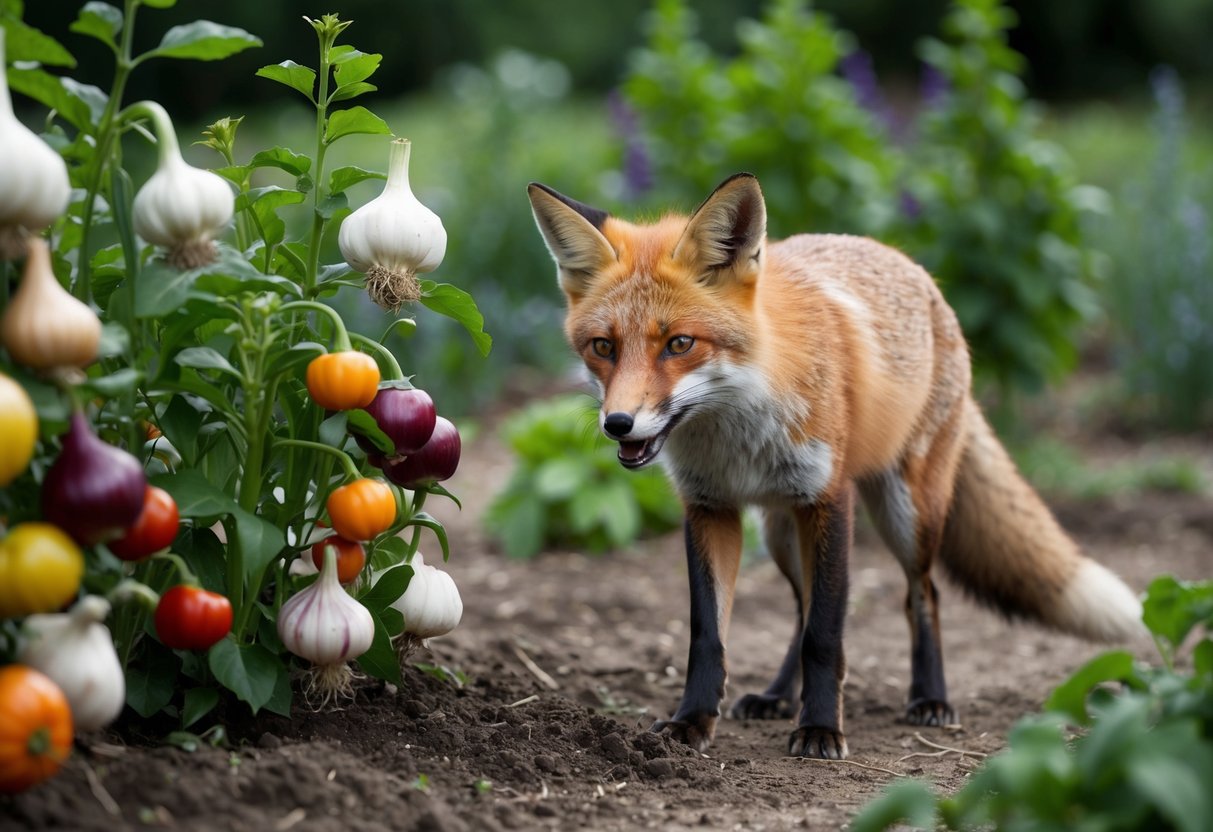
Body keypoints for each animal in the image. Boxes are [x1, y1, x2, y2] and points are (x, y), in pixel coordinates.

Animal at [526, 173, 1145, 760]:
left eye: (679, 343)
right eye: (603, 347)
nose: (618, 423)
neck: (739, 432)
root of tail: (914, 269)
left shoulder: (827, 500)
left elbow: (826, 635)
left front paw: (821, 729)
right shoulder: (709, 508)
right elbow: (710, 634)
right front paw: (693, 721)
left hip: (906, 513)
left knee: (922, 594)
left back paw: (929, 698)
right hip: (779, 532)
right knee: (800, 610)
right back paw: (777, 696)